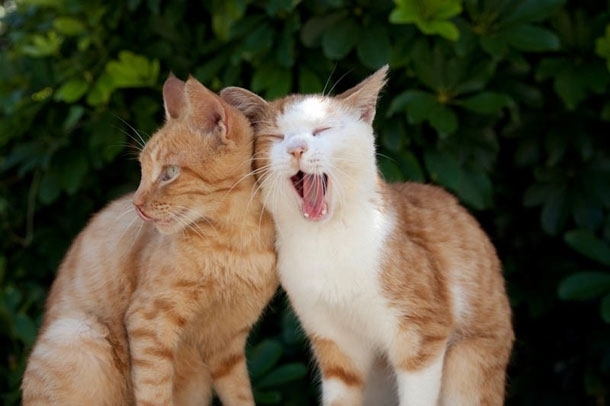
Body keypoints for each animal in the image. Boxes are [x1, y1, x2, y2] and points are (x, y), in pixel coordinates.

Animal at [20, 74, 278, 404]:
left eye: (169, 172)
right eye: (143, 171)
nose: (137, 205)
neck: (238, 240)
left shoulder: (227, 342)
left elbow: (240, 395)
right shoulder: (149, 322)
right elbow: (154, 393)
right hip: (77, 335)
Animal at [218, 65, 512, 404]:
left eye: (322, 130)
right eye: (276, 137)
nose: (296, 148)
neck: (327, 240)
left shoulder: (423, 336)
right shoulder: (334, 343)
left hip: (470, 365)